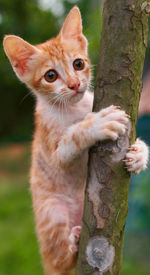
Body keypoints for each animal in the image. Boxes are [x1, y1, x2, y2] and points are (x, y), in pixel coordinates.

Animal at [2, 5, 148, 275]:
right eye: (50, 76)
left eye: (78, 64)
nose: (74, 84)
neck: (74, 109)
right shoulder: (54, 152)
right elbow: (74, 135)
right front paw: (96, 124)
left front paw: (140, 155)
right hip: (52, 212)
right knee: (60, 261)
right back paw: (73, 243)